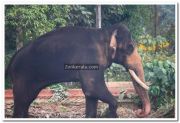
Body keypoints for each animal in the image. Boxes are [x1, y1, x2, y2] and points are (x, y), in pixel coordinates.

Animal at [5, 23, 150, 117]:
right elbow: (92, 88)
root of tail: (11, 61)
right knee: (22, 101)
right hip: (22, 77)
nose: (139, 112)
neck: (104, 32)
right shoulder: (90, 59)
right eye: (130, 47)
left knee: (26, 101)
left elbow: (91, 95)